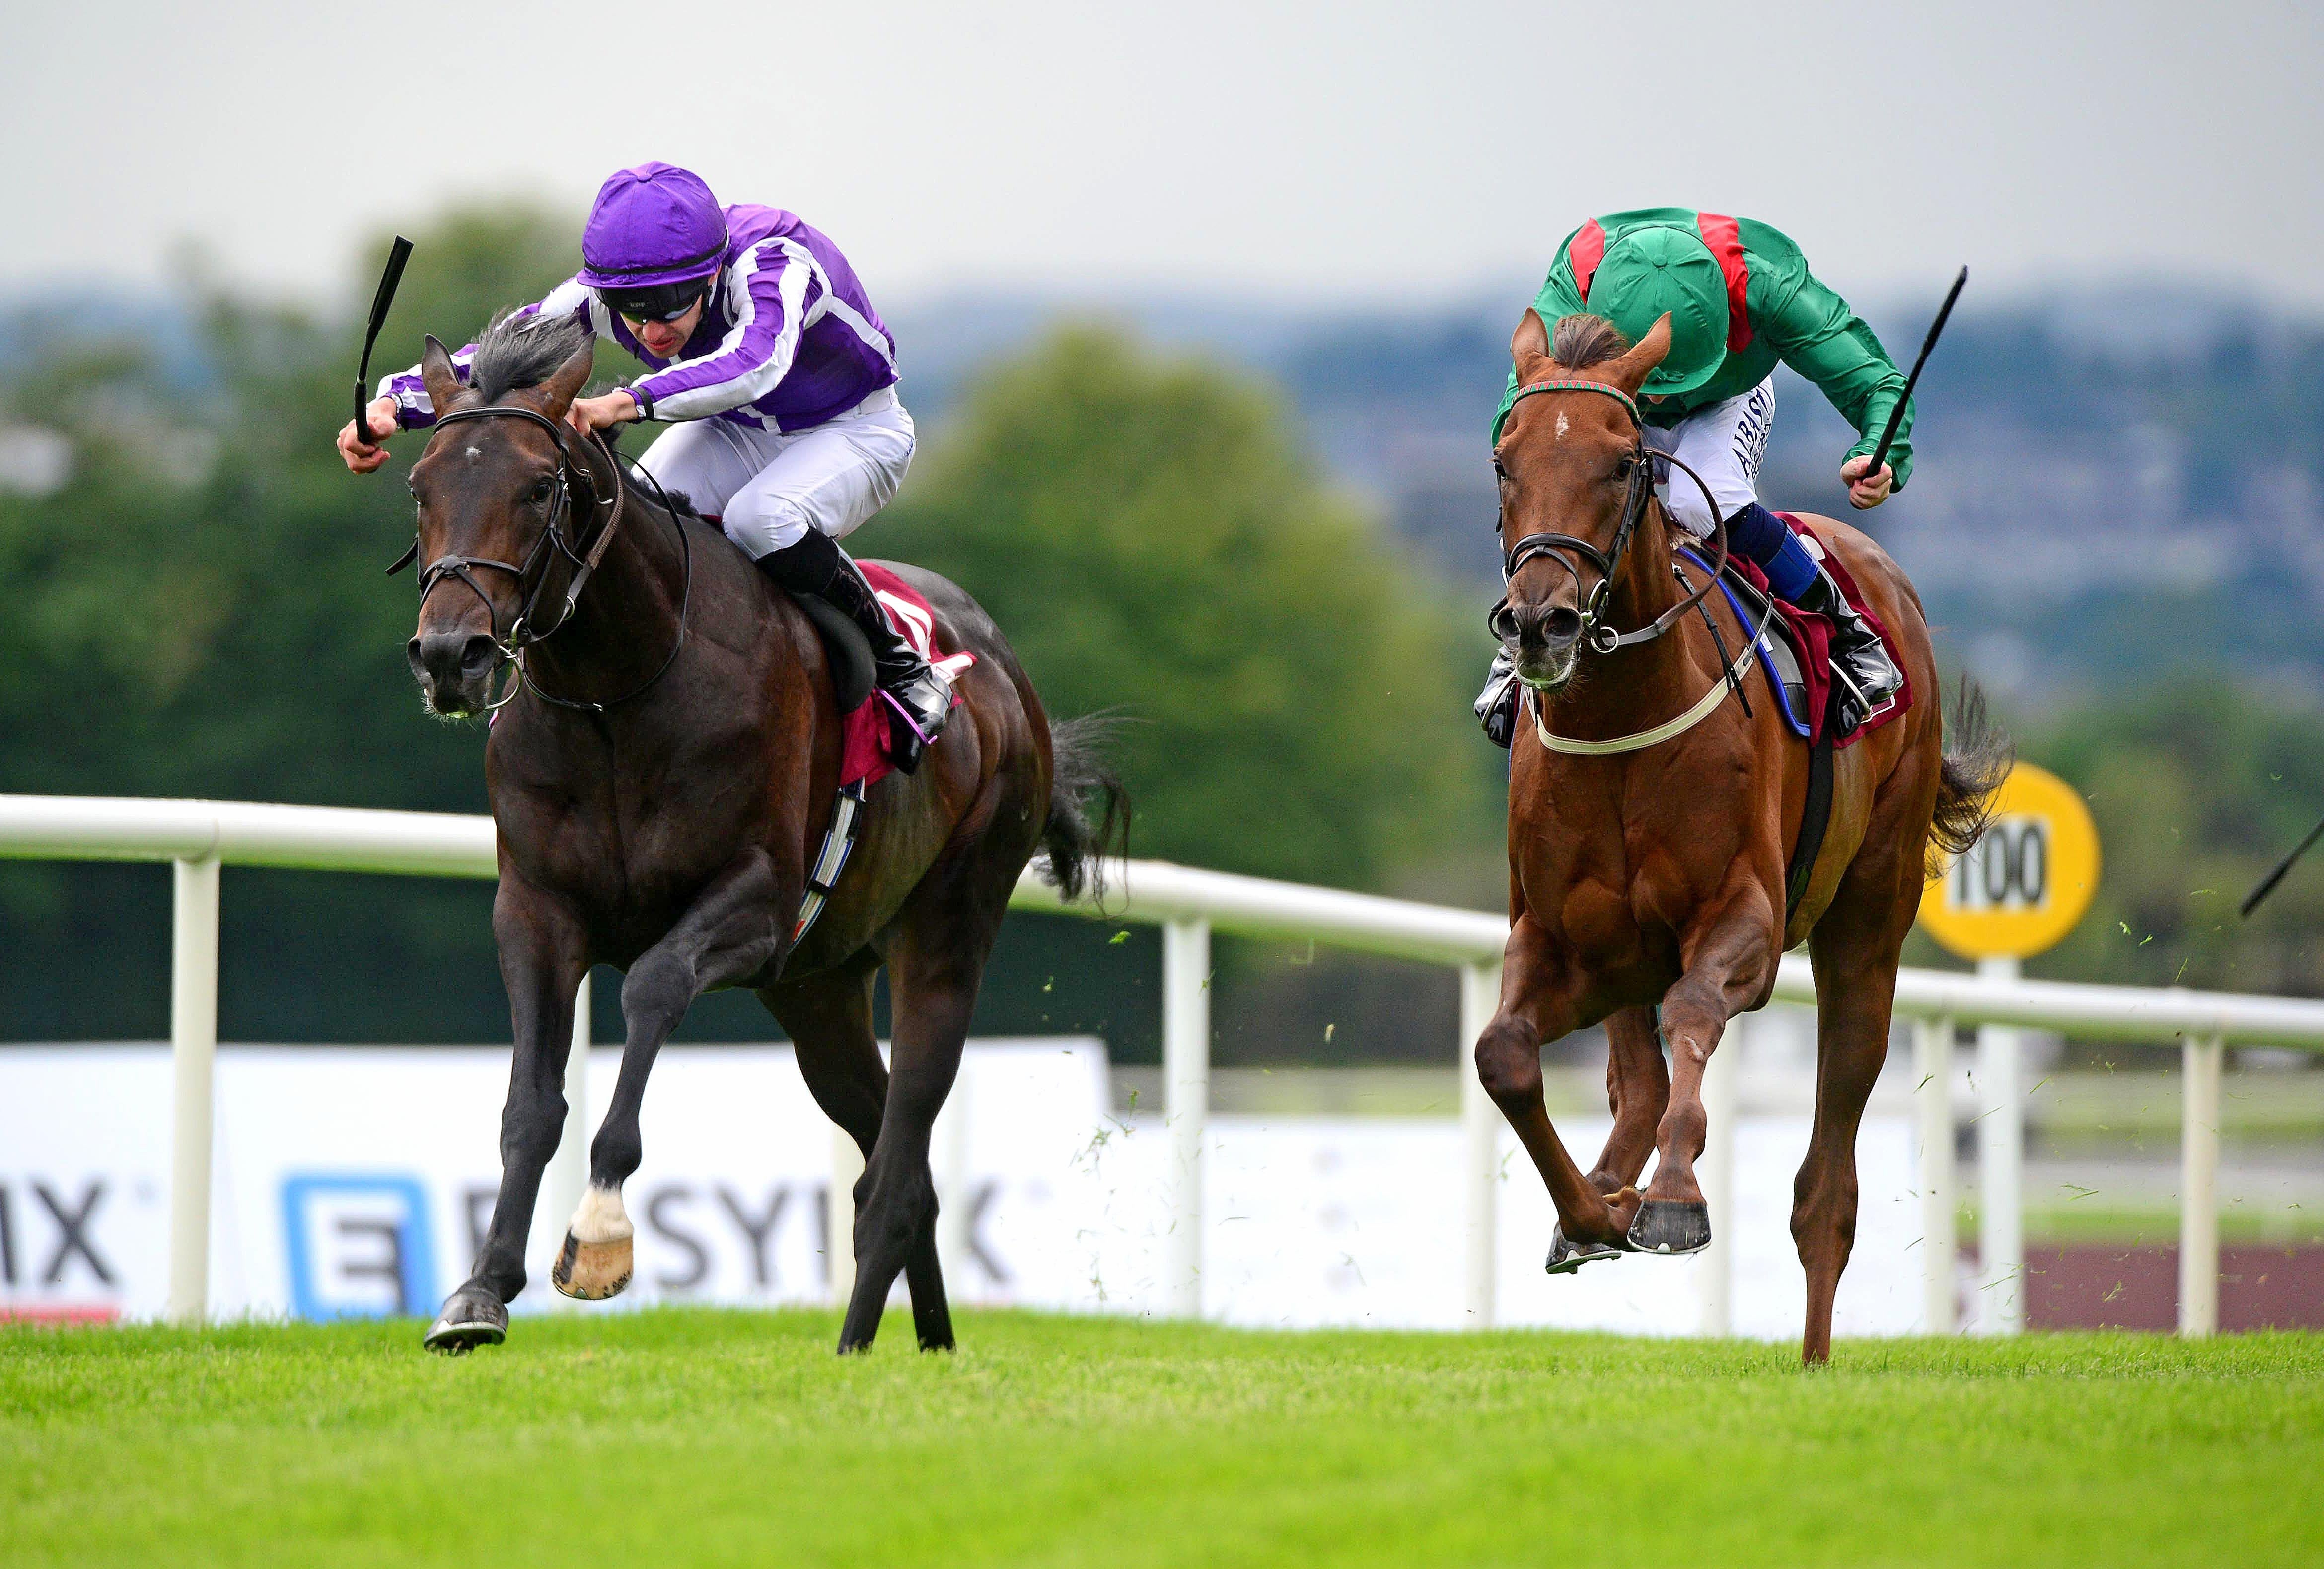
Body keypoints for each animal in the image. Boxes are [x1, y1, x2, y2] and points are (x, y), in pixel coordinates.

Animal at [399, 314, 1125, 1357]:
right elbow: (531, 1103)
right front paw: (480, 1292)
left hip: (949, 928)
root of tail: (1006, 675)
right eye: (421, 488)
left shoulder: (753, 901)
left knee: (899, 1166)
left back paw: (856, 1345)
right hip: (818, 991)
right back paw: (929, 1344)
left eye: (538, 487)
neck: (619, 692)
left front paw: (601, 1233)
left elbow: (653, 988)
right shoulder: (536, 909)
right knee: (895, 1160)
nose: (450, 655)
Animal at [1478, 306, 2008, 1366]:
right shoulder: (1563, 940)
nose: (1540, 625)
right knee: (1635, 1084)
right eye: (1506, 462)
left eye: (1621, 463)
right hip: (1626, 956)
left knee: (1825, 1189)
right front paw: (1595, 1215)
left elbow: (1694, 1011)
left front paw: (1675, 1198)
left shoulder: (1747, 924)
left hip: (1867, 933)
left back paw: (1811, 1352)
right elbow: (1506, 1055)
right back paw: (1609, 1188)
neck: (1621, 717)